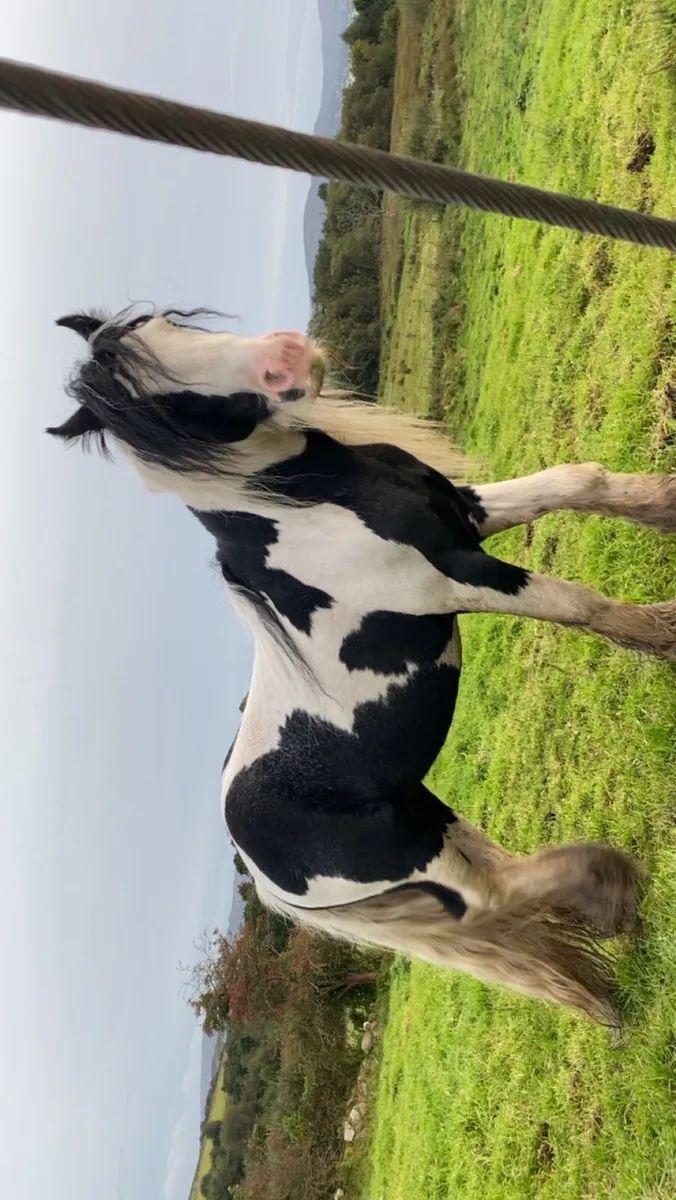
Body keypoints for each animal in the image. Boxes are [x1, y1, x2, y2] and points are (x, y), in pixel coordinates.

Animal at [49, 307, 676, 1030]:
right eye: (163, 408)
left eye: (170, 323)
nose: (286, 357)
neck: (308, 509)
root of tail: (257, 869)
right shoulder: (456, 579)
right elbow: (580, 605)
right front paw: (666, 632)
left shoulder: (467, 513)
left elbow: (577, 483)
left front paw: (665, 503)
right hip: (411, 849)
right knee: (490, 897)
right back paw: (609, 883)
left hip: (421, 820)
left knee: (493, 880)